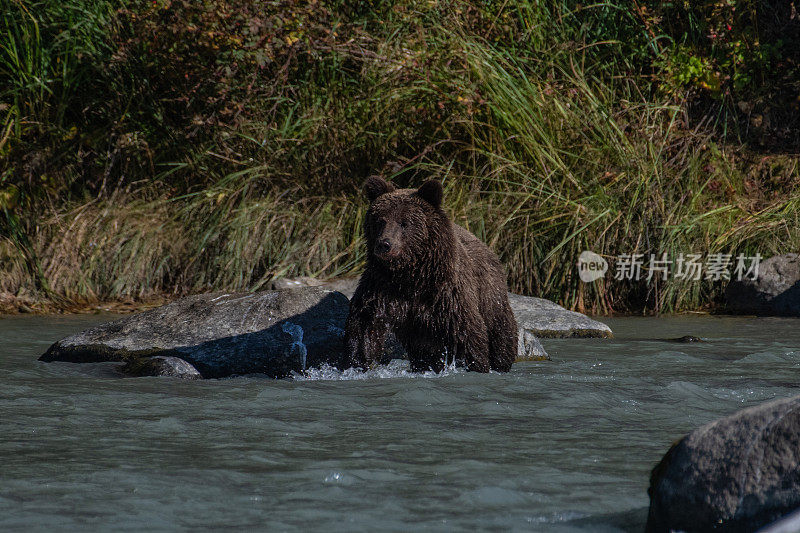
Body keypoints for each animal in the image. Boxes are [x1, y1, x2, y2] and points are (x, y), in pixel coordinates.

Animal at [344, 177, 520, 372]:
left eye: (404, 222)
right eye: (380, 221)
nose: (385, 244)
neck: (411, 274)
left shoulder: (447, 292)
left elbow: (467, 332)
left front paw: (477, 364)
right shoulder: (382, 286)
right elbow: (364, 323)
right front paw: (358, 361)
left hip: (489, 291)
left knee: (500, 327)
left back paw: (502, 360)